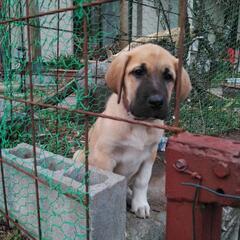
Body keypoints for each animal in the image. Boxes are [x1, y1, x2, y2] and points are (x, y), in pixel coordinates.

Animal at [73, 44, 191, 218]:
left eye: (168, 76)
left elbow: (142, 182)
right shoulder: (104, 158)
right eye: (138, 72)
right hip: (80, 154)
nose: (156, 102)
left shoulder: (149, 156)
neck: (139, 124)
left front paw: (140, 204)